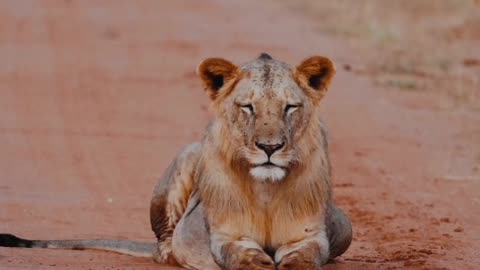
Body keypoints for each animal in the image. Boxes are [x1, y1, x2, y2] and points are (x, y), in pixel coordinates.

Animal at [0, 53, 352, 270]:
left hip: (345, 224)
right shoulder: (227, 235)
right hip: (187, 157)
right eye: (247, 107)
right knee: (164, 245)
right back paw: (178, 256)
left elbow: (305, 256)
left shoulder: (308, 236)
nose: (269, 147)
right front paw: (258, 262)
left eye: (289, 107)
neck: (266, 190)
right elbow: (241, 254)